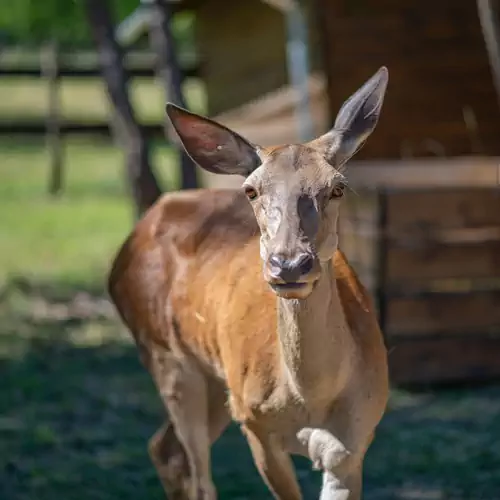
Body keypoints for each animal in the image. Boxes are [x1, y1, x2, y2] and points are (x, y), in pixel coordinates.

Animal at [108, 67, 390, 500]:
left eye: (337, 187)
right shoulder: (254, 421)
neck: (311, 399)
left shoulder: (357, 436)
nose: (289, 264)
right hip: (166, 356)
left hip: (214, 379)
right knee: (196, 470)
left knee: (165, 449)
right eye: (251, 189)